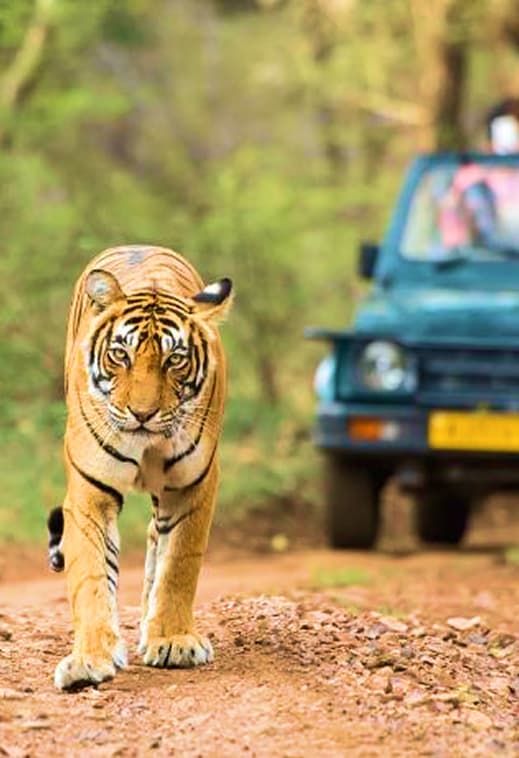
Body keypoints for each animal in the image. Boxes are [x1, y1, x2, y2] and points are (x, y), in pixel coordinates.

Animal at [48, 244, 232, 690]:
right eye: (121, 354)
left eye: (175, 360)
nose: (142, 414)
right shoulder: (89, 492)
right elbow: (91, 575)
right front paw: (89, 660)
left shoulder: (194, 485)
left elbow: (179, 564)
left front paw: (173, 641)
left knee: (156, 541)